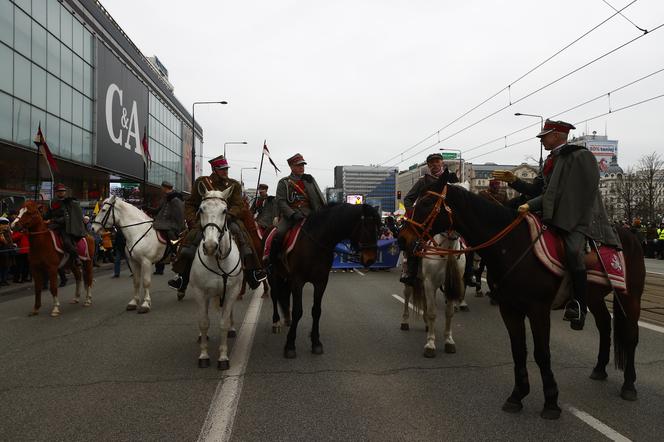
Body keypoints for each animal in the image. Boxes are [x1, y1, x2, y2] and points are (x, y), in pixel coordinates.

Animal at [189, 186, 244, 370]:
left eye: (225, 210)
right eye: (201, 209)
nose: (210, 246)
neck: (217, 259)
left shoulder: (232, 291)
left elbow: (223, 323)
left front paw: (223, 357)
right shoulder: (200, 292)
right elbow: (204, 322)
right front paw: (204, 355)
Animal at [268, 204, 378, 360]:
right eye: (367, 227)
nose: (371, 259)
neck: (317, 242)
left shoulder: (321, 282)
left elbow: (316, 311)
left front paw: (316, 342)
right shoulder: (298, 281)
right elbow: (298, 311)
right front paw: (290, 345)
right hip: (274, 274)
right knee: (274, 295)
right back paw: (276, 321)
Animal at [396, 170, 644, 422]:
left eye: (427, 202)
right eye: (415, 201)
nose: (402, 238)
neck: (511, 244)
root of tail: (628, 234)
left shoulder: (537, 309)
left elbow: (541, 353)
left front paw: (551, 402)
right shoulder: (509, 308)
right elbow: (518, 350)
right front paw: (517, 396)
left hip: (630, 296)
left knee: (630, 335)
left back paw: (629, 386)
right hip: (594, 298)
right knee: (604, 326)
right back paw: (600, 369)